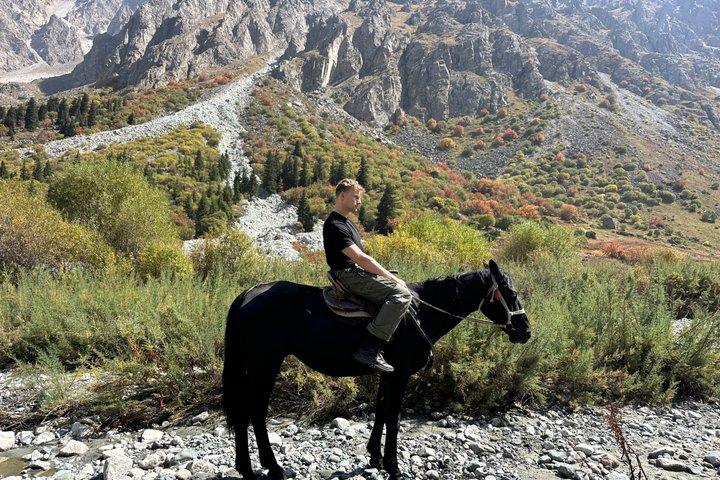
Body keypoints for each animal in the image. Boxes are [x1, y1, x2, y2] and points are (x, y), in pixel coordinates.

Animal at [222, 259, 531, 480]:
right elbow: (393, 417)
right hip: (265, 363)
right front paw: (394, 466)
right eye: (510, 293)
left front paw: (375, 457)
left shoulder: (388, 372)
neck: (419, 314)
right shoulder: (401, 373)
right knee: (254, 411)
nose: (525, 331)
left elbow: (381, 410)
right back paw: (267, 467)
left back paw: (249, 467)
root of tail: (248, 293)